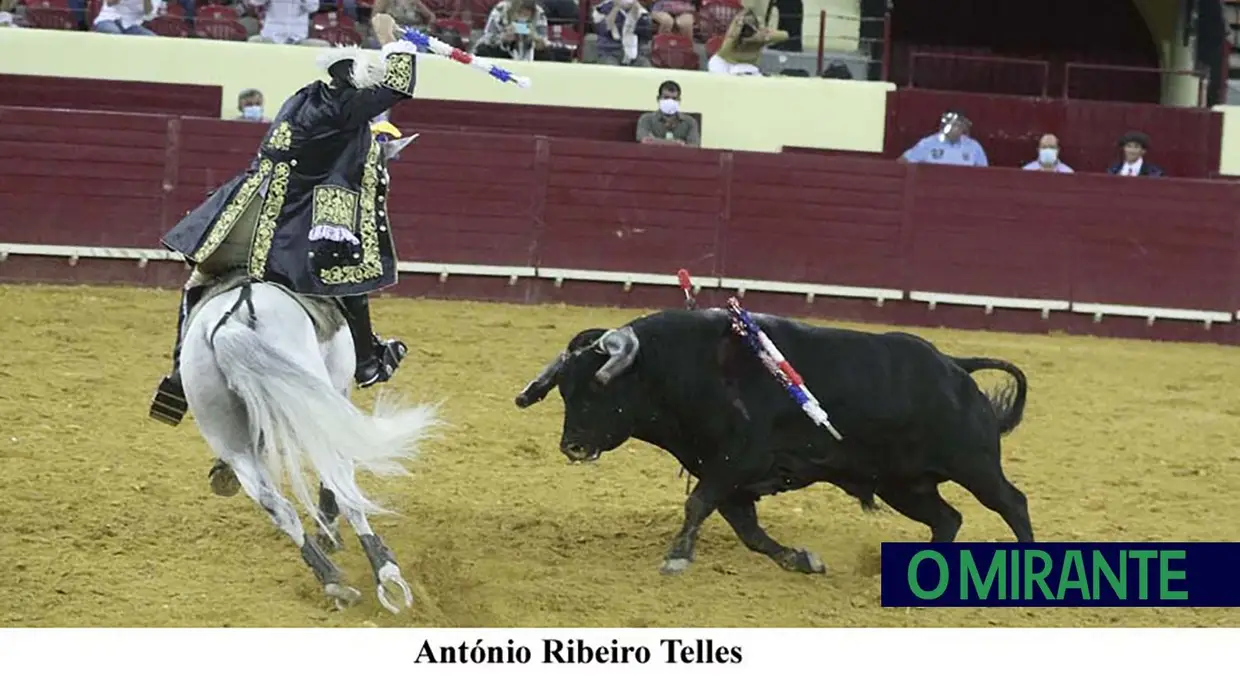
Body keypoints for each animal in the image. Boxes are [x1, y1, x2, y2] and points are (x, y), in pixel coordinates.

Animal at [177, 269, 441, 610]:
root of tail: (230, 323)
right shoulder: (336, 392)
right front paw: (329, 530)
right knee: (342, 482)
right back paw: (386, 574)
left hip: (227, 434)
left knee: (276, 504)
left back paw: (333, 580)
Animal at [508, 308, 1031, 575]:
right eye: (564, 390)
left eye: (599, 388)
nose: (573, 446)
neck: (679, 367)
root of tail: (955, 367)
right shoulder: (724, 476)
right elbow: (750, 533)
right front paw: (801, 560)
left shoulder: (738, 460)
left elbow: (697, 505)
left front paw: (677, 556)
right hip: (903, 484)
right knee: (948, 518)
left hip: (974, 464)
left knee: (1012, 502)